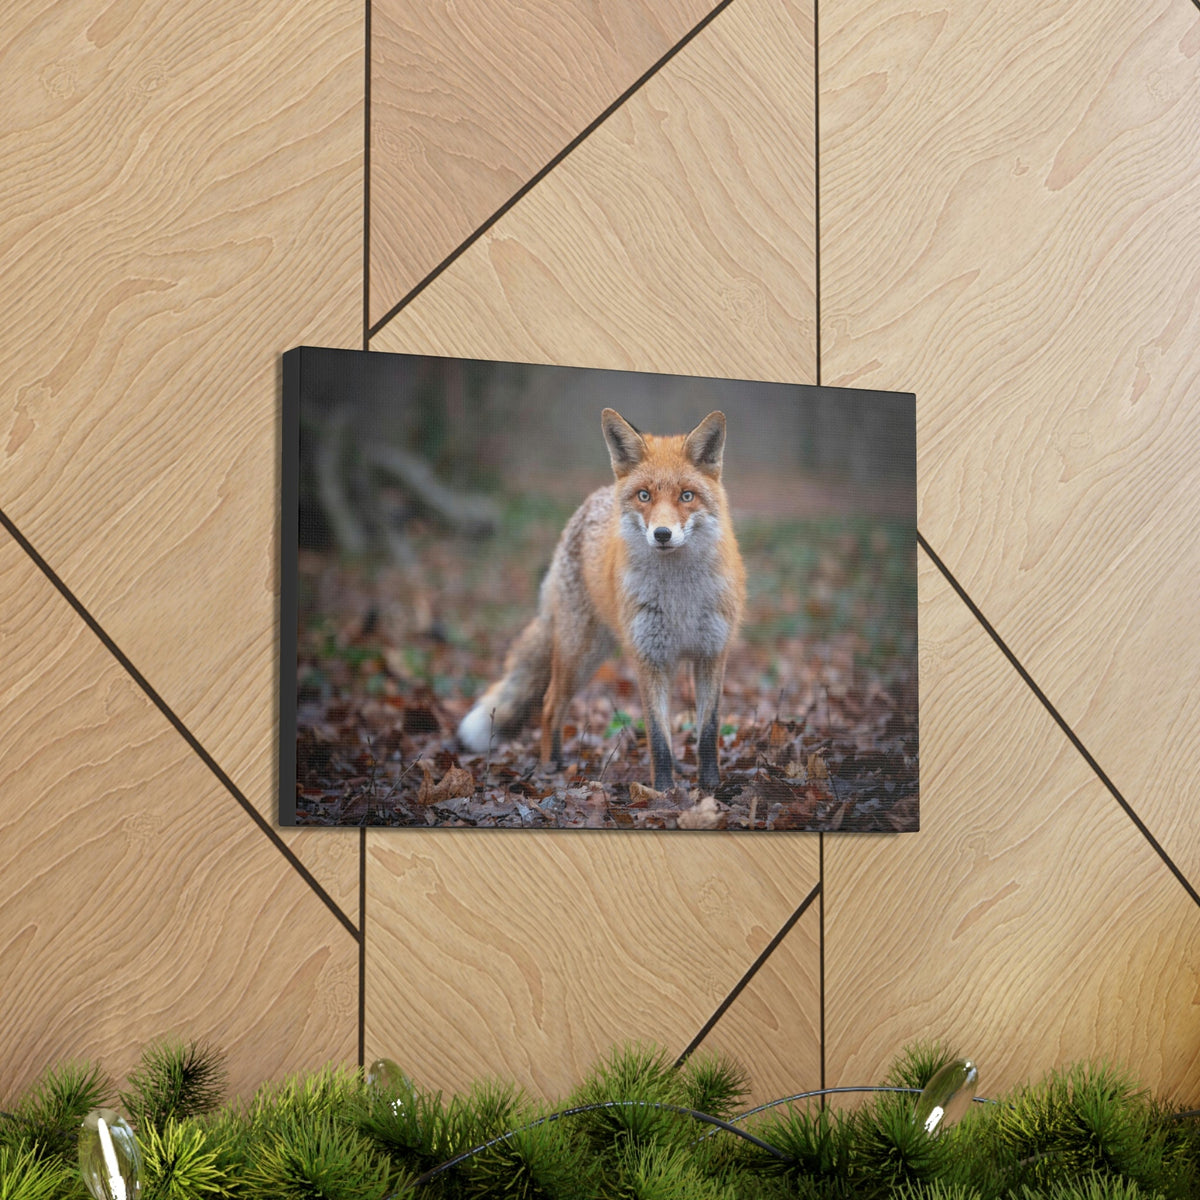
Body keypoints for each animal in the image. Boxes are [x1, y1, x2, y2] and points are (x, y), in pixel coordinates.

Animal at [457, 407, 746, 792]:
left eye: (687, 496)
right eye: (644, 496)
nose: (662, 534)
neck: (679, 598)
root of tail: (593, 498)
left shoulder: (712, 653)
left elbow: (708, 731)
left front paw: (711, 787)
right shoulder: (649, 657)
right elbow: (658, 737)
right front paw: (663, 791)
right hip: (579, 655)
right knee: (549, 706)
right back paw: (552, 767)